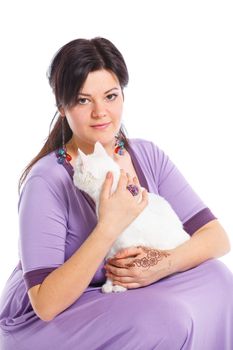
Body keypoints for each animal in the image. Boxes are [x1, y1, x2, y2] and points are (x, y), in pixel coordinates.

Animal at [73, 142, 190, 292]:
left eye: (76, 170)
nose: (72, 176)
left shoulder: (130, 244)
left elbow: (124, 264)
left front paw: (120, 287)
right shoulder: (111, 245)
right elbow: (111, 264)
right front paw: (108, 285)